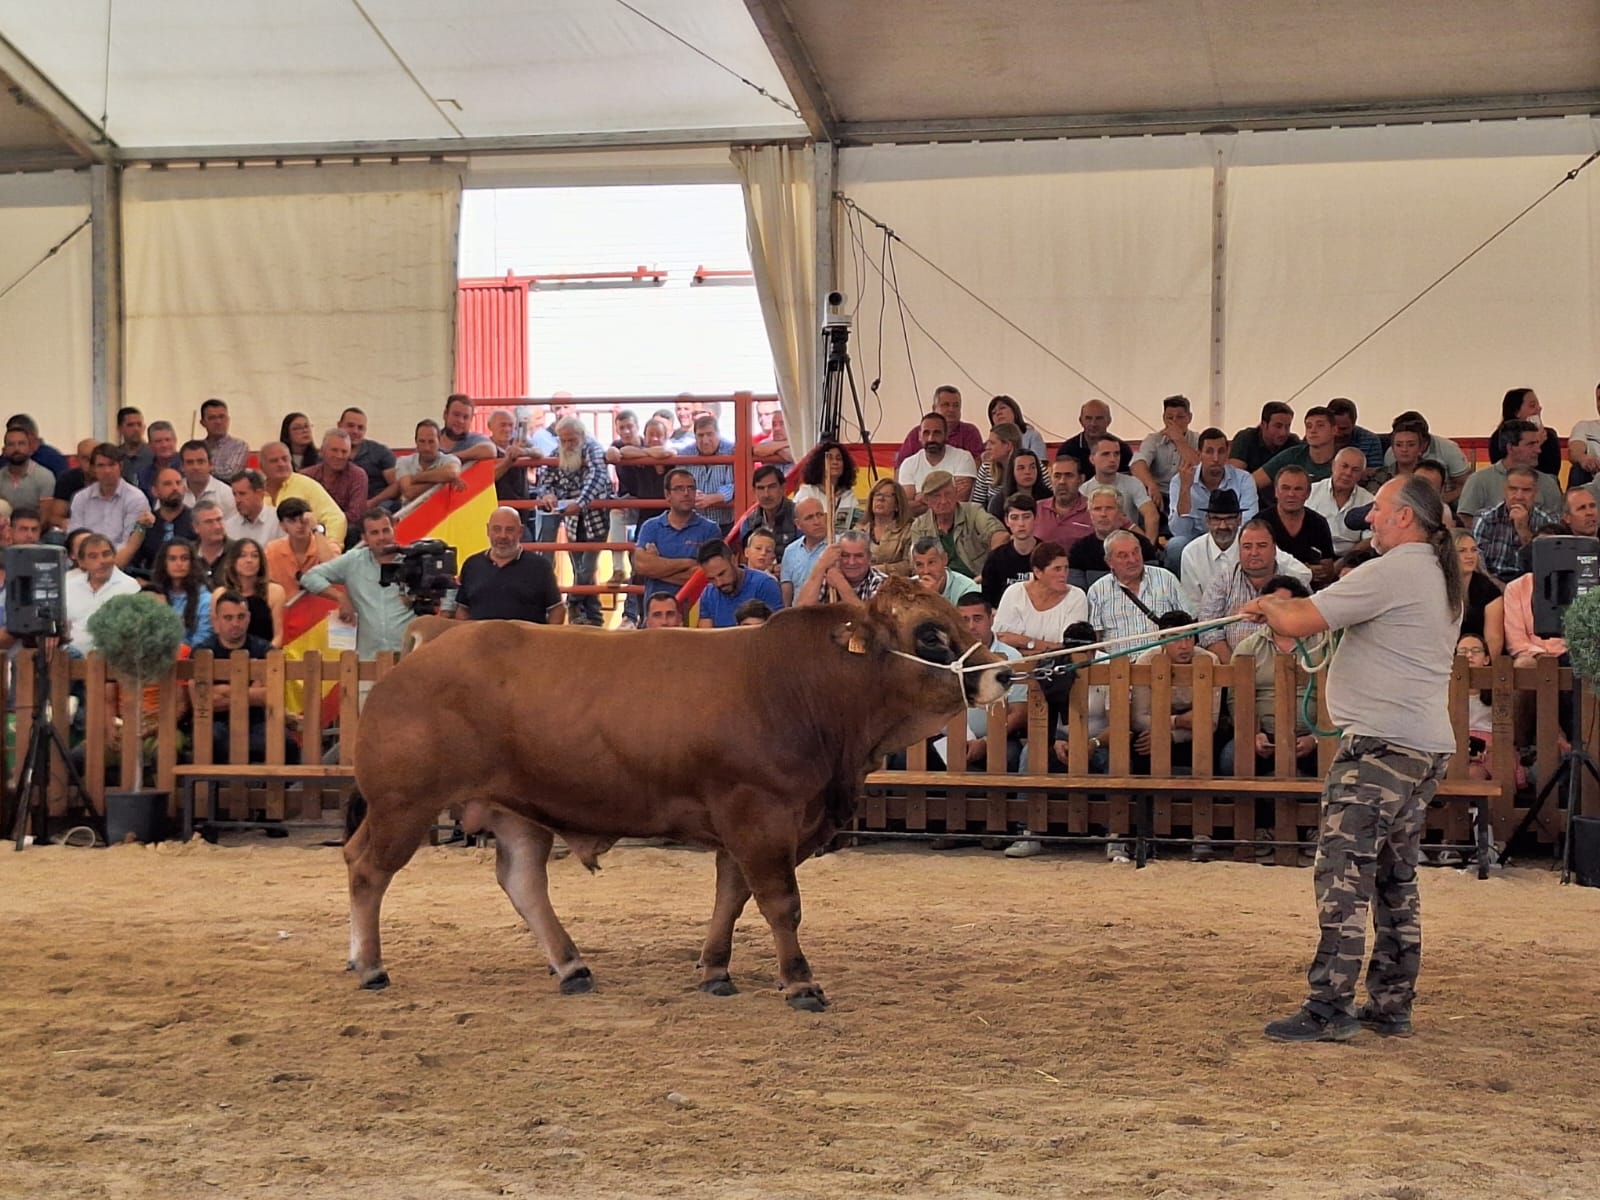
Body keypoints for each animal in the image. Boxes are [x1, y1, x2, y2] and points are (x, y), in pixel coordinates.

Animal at [344, 579, 1004, 1011]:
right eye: (930, 634)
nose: (1002, 672)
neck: (799, 685)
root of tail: (436, 634)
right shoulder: (760, 815)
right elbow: (780, 903)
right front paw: (799, 982)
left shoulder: (742, 826)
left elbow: (731, 899)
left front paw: (714, 970)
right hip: (403, 804)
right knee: (367, 869)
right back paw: (370, 965)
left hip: (514, 810)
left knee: (522, 882)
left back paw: (571, 965)